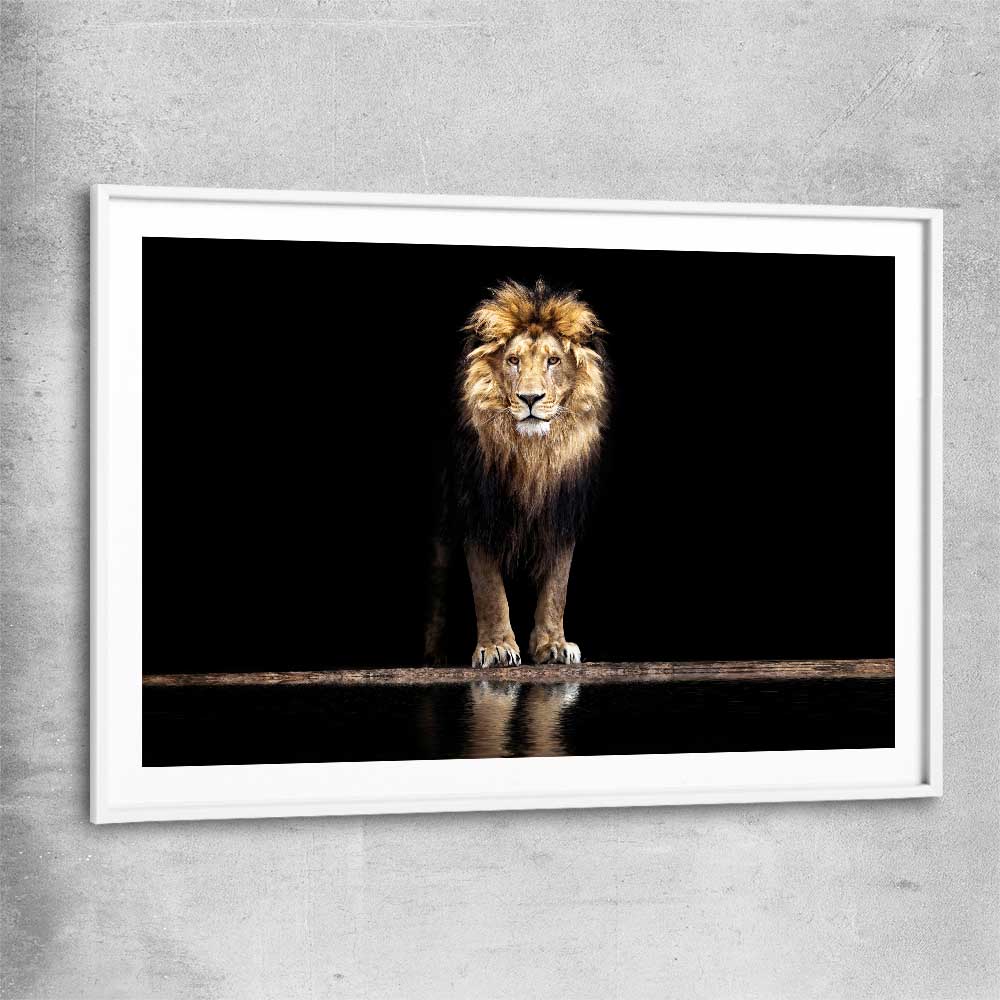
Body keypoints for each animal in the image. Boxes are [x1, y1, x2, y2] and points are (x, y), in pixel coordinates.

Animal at [424, 278, 610, 667]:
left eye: (553, 360)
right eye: (513, 360)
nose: (530, 398)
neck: (532, 455)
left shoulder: (561, 512)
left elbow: (557, 586)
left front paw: (553, 645)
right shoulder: (477, 508)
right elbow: (489, 588)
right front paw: (496, 647)